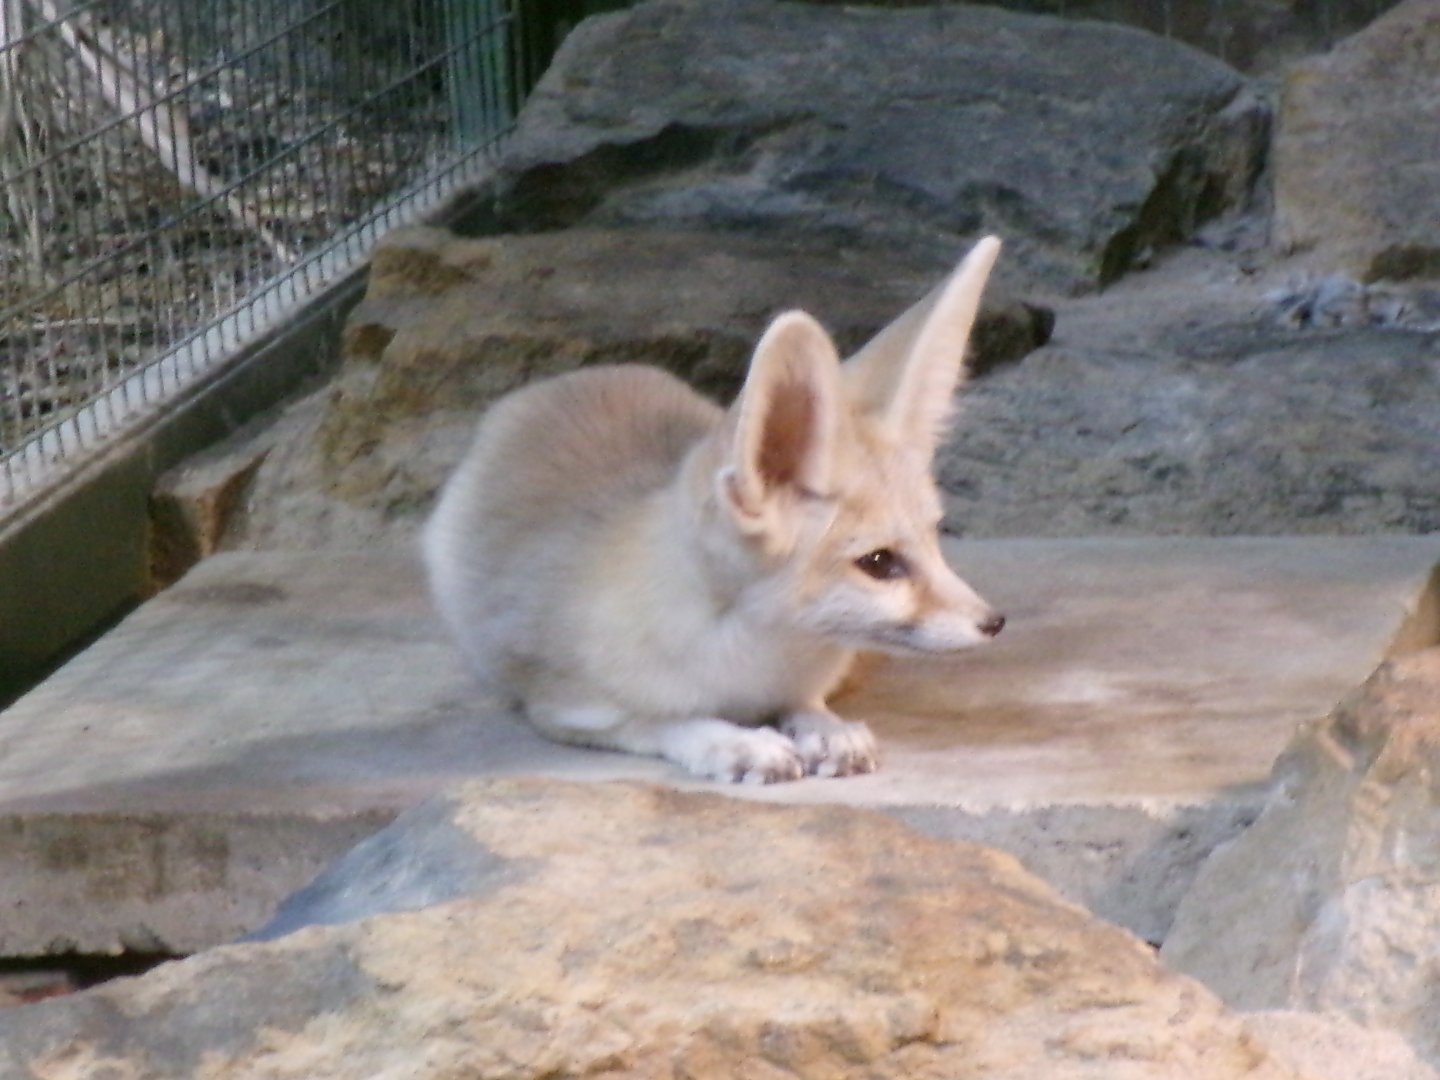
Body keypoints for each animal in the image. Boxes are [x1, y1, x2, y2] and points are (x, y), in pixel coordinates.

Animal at [422, 236, 1006, 784]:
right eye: (880, 563)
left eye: (936, 536)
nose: (995, 622)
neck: (751, 662)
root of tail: (572, 379)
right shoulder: (567, 706)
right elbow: (665, 722)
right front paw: (735, 742)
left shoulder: (794, 684)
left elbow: (805, 704)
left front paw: (827, 730)